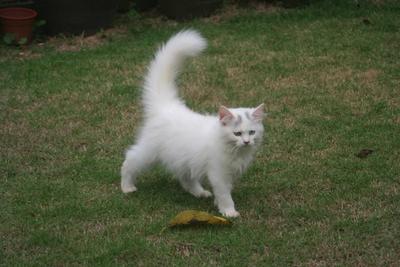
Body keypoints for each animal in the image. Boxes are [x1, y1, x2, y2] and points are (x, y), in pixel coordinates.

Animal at [120, 29, 264, 218]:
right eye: (237, 133)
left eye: (252, 132)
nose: (247, 142)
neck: (232, 149)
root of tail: (168, 106)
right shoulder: (219, 173)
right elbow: (225, 195)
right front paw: (229, 212)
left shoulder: (228, 174)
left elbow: (223, 192)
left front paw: (218, 205)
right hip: (149, 153)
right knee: (129, 160)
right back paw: (126, 187)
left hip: (184, 158)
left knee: (185, 179)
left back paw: (200, 193)